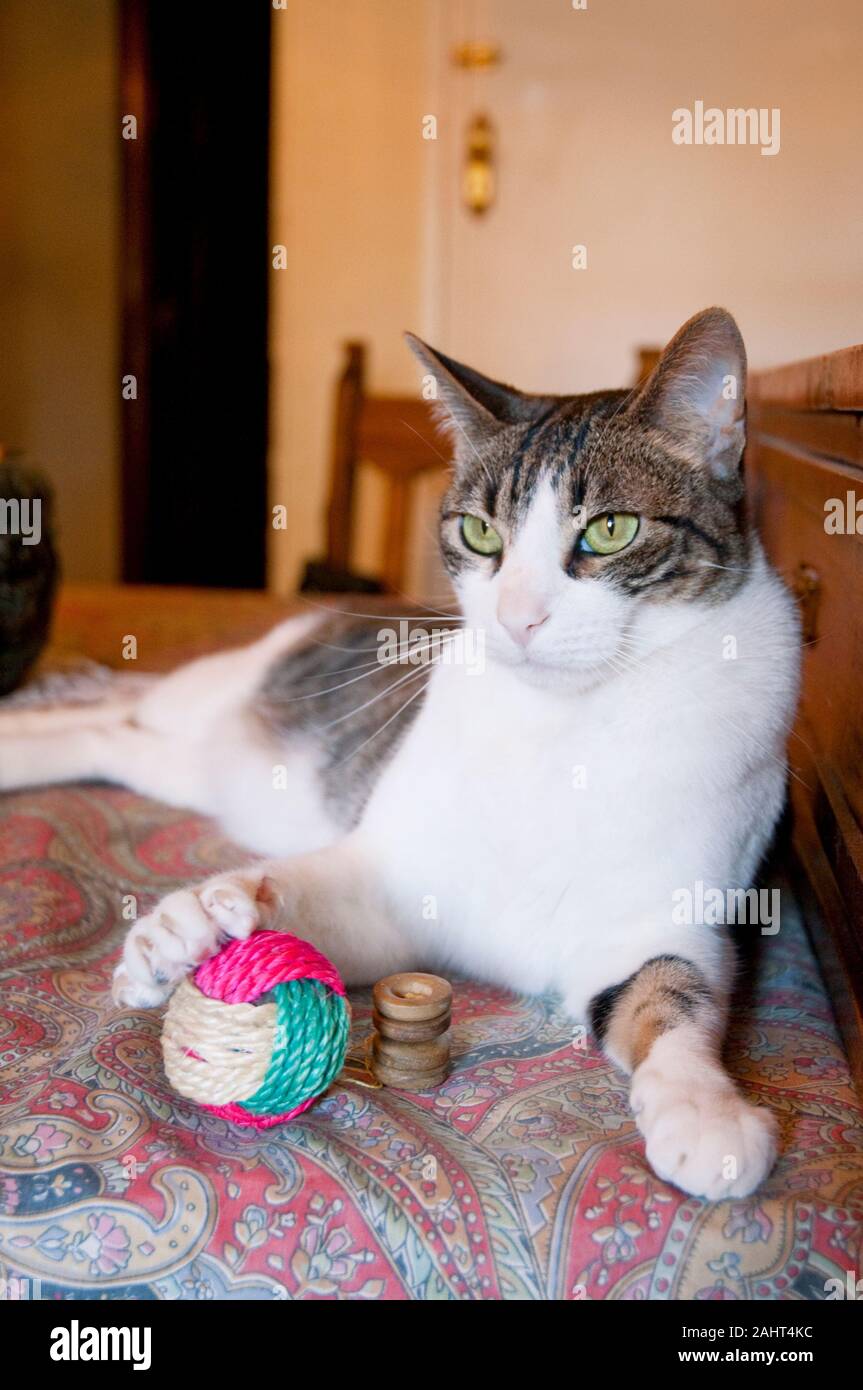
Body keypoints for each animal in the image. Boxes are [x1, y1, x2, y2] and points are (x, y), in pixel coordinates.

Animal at [0, 309, 800, 1200]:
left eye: (610, 529)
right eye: (480, 533)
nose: (517, 617)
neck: (563, 727)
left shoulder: (662, 914)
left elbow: (671, 997)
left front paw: (704, 1112)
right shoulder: (392, 874)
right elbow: (303, 888)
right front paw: (187, 930)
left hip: (198, 767)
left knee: (109, 739)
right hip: (215, 697)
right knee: (120, 706)